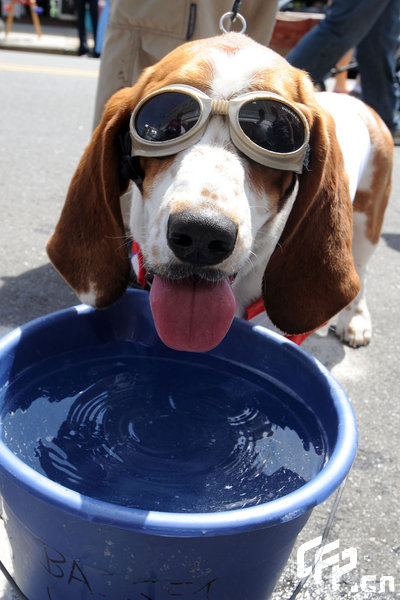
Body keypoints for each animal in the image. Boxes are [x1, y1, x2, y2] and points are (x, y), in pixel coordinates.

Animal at [47, 34, 394, 352]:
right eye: (166, 124)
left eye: (278, 134)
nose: (201, 233)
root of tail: (357, 102)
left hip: (367, 227)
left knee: (362, 272)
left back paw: (355, 319)